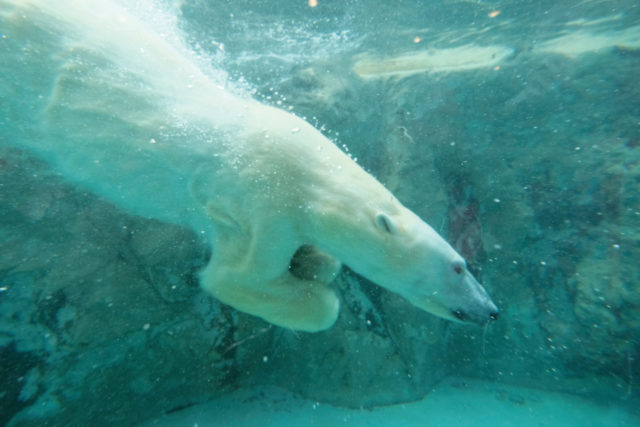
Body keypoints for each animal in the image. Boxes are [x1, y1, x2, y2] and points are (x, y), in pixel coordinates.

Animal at [1, 0, 500, 332]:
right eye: (459, 266)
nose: (491, 310)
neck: (310, 179)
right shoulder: (265, 200)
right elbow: (232, 277)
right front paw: (315, 296)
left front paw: (314, 264)